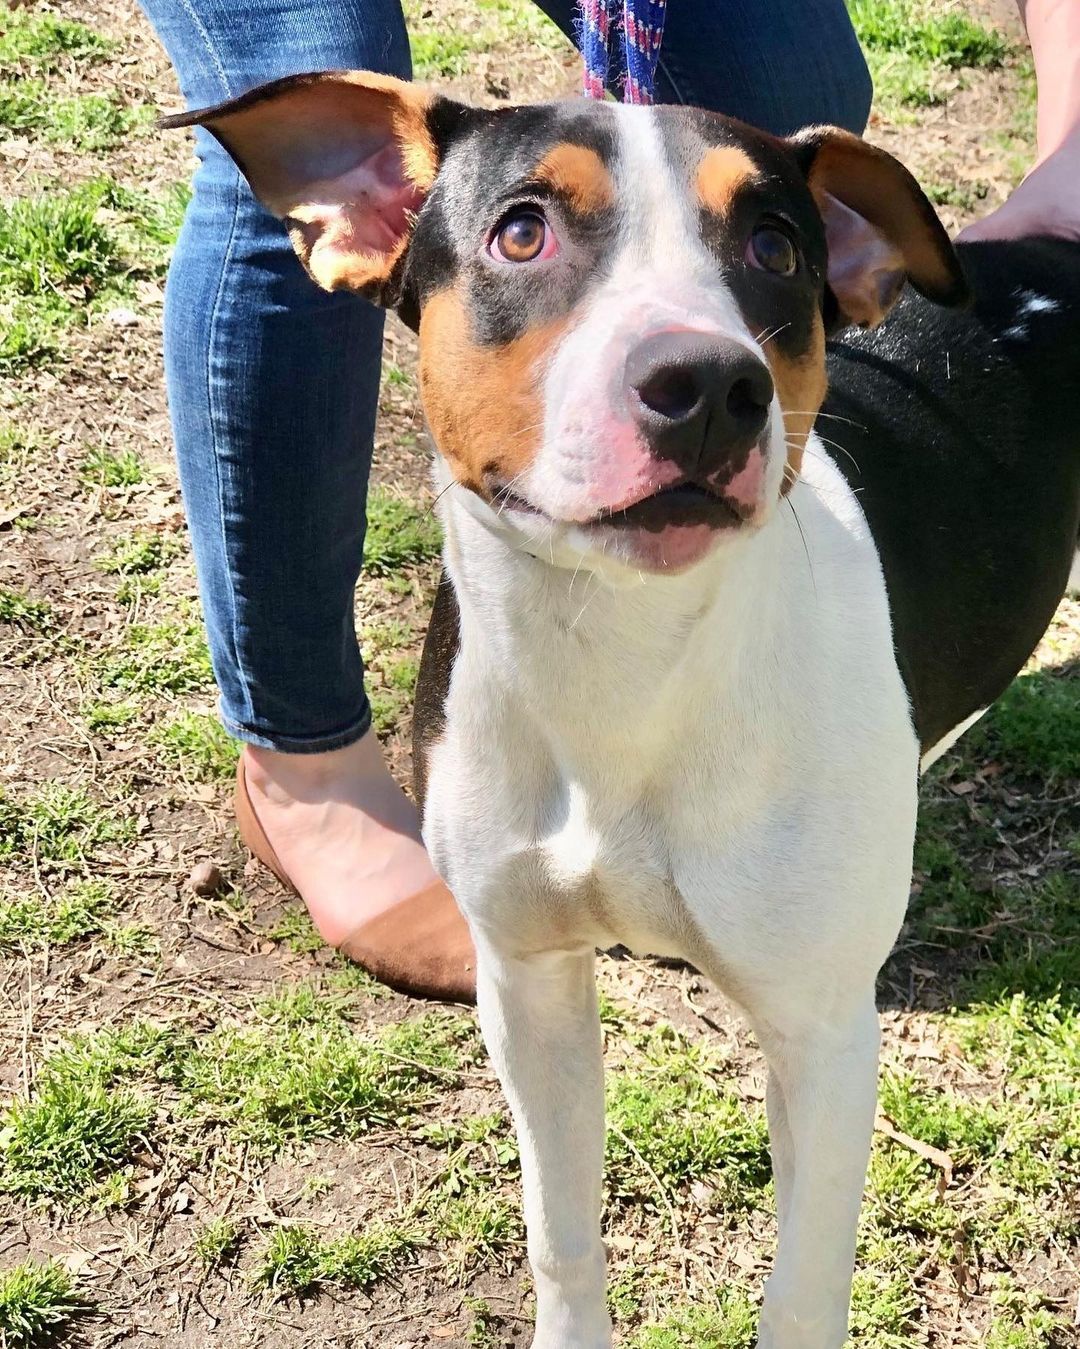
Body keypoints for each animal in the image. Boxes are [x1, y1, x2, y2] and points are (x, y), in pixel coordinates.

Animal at [166, 73, 1078, 1349]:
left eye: (774, 245)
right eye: (522, 230)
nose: (710, 388)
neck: (621, 658)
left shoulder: (823, 1034)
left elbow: (801, 1289)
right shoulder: (526, 979)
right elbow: (562, 1233)